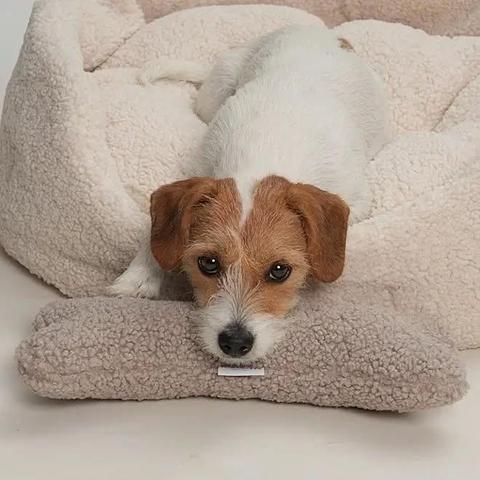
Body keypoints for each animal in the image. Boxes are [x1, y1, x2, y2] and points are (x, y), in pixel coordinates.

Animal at [110, 25, 390, 364]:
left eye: (280, 270)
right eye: (208, 263)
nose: (234, 342)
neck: (262, 156)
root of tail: (322, 32)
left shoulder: (358, 200)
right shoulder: (195, 171)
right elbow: (155, 234)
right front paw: (136, 278)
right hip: (215, 91)